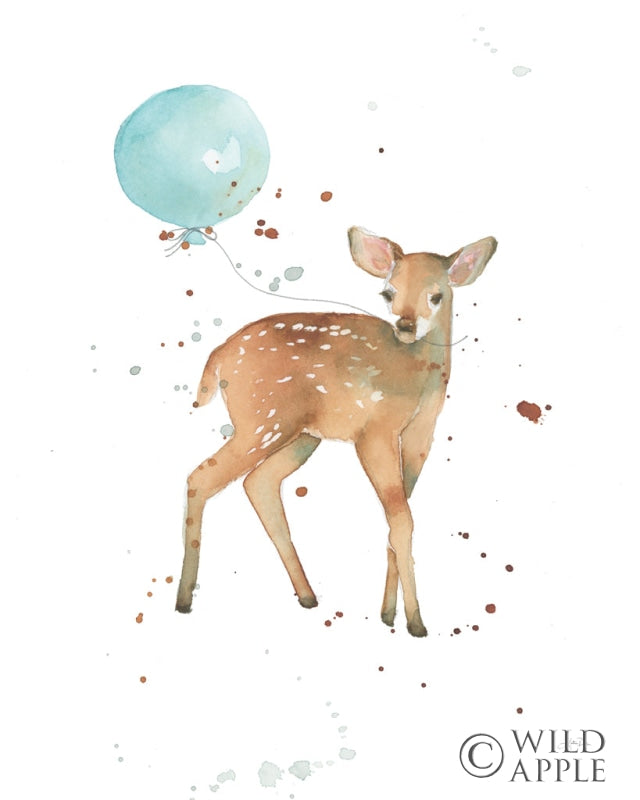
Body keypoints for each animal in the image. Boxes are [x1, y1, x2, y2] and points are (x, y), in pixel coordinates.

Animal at [175, 226, 497, 636]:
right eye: (388, 292)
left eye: (436, 295)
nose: (405, 326)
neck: (417, 376)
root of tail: (217, 358)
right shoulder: (374, 430)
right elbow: (401, 520)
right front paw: (415, 622)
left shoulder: (421, 433)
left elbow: (399, 517)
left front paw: (388, 615)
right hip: (262, 421)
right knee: (201, 476)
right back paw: (184, 600)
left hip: (300, 435)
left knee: (257, 483)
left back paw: (308, 596)